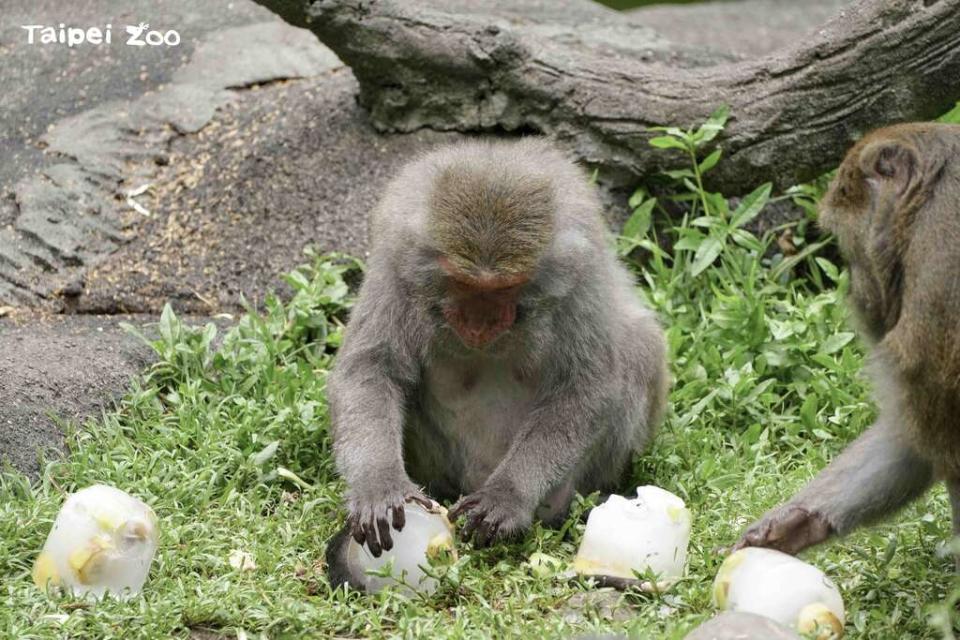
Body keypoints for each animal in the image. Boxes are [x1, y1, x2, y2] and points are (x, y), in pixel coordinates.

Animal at [322, 138, 668, 588]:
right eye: (464, 283)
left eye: (504, 288)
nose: (479, 322)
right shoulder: (395, 265)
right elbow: (372, 368)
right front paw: (380, 487)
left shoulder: (581, 277)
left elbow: (589, 382)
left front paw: (509, 494)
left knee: (640, 344)